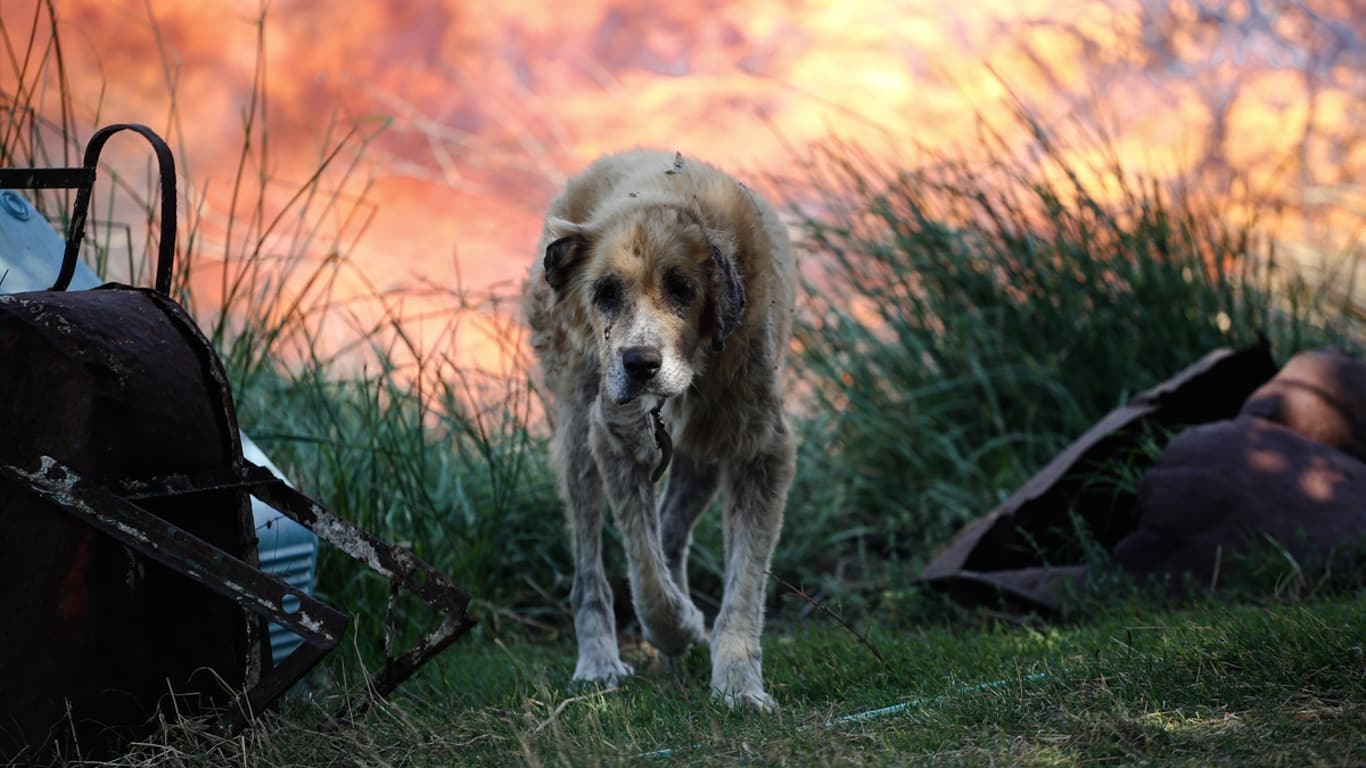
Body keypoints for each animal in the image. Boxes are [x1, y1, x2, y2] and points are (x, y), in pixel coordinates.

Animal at [521, 148, 797, 705]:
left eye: (682, 289)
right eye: (605, 291)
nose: (640, 364)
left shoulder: (760, 450)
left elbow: (744, 584)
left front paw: (738, 681)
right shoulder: (614, 439)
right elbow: (644, 571)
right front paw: (677, 628)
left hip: (702, 457)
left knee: (670, 528)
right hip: (578, 440)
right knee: (591, 573)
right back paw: (600, 660)